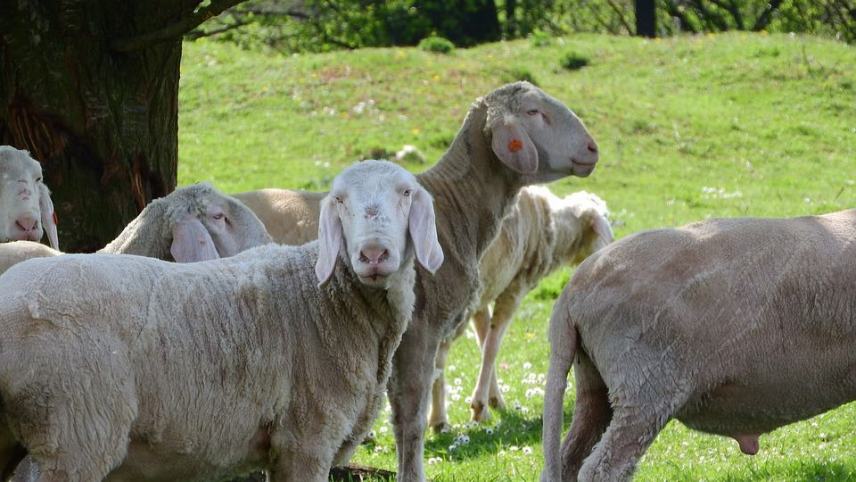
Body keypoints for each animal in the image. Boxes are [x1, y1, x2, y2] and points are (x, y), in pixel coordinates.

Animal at [432, 185, 612, 430]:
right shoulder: (514, 287)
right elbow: (492, 346)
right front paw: (480, 407)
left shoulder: (484, 292)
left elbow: (484, 340)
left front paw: (493, 400)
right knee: (438, 354)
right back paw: (438, 419)